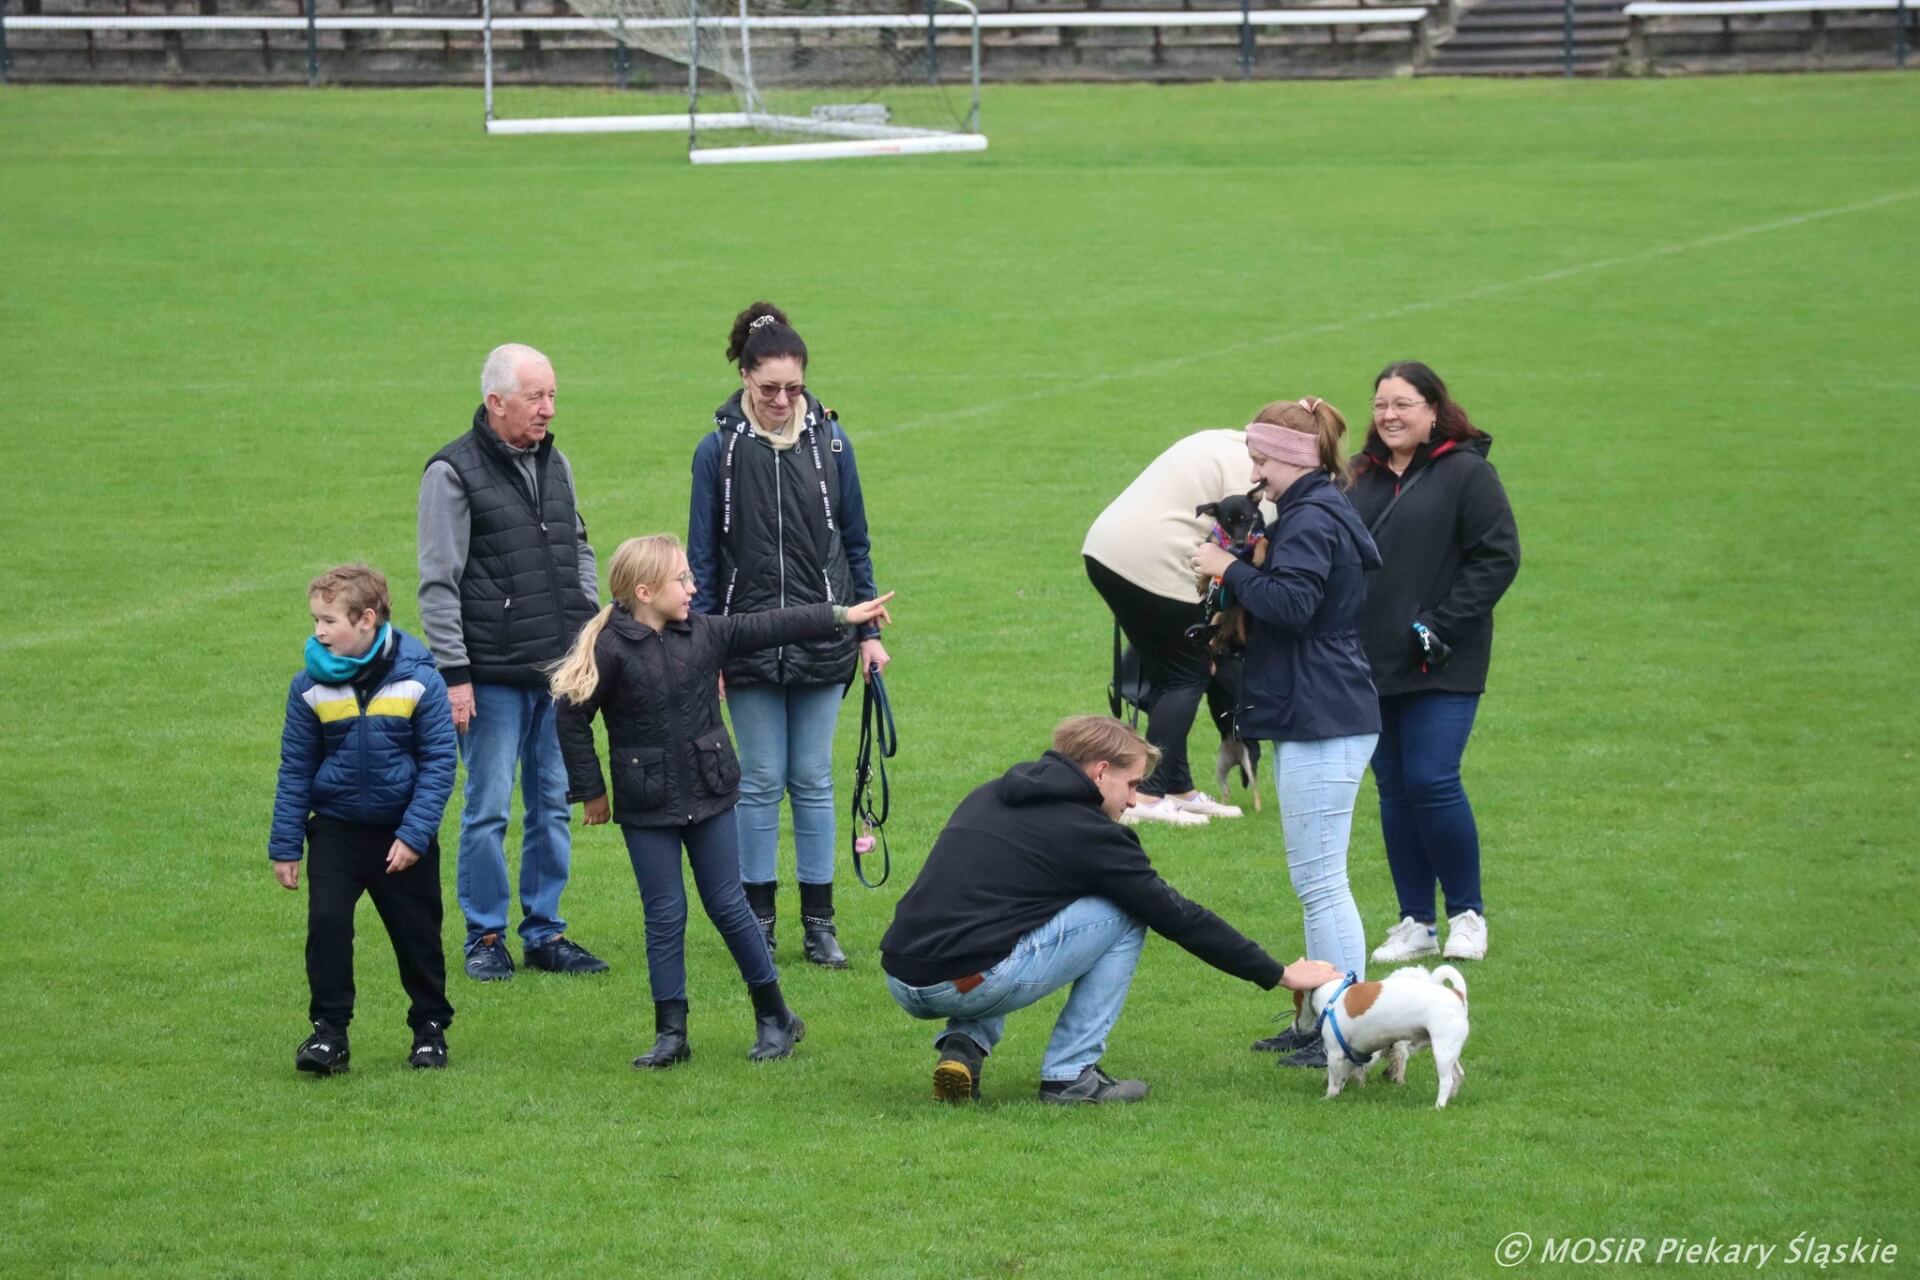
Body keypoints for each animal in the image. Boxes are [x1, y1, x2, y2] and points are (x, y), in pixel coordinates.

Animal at [1297, 967, 1474, 1105]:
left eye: (1296, 1001)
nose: (1295, 1028)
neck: (1332, 998)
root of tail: (1458, 994)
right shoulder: (1353, 1054)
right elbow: (1343, 1076)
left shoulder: (1335, 1054)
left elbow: (1333, 1080)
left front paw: (1328, 1097)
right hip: (1449, 1049)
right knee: (1458, 1075)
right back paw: (1451, 1099)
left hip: (1442, 1051)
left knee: (1446, 1081)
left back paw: (1438, 1106)